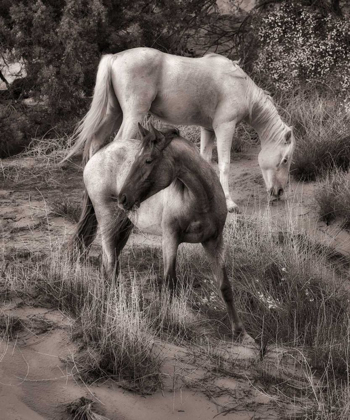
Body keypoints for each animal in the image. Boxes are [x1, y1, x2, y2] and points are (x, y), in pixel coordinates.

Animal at [63, 47, 296, 212]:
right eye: (285, 160)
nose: (279, 192)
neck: (240, 85)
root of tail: (115, 58)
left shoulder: (208, 129)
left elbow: (205, 160)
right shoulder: (225, 128)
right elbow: (224, 165)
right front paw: (230, 204)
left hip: (114, 113)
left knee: (96, 143)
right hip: (131, 116)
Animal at [72, 124, 250, 342]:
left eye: (148, 160)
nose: (123, 198)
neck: (200, 200)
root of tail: (95, 157)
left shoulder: (214, 241)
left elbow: (224, 286)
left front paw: (240, 332)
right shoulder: (170, 240)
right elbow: (170, 282)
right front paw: (169, 321)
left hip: (124, 227)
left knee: (110, 264)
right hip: (108, 222)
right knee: (110, 264)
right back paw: (114, 303)